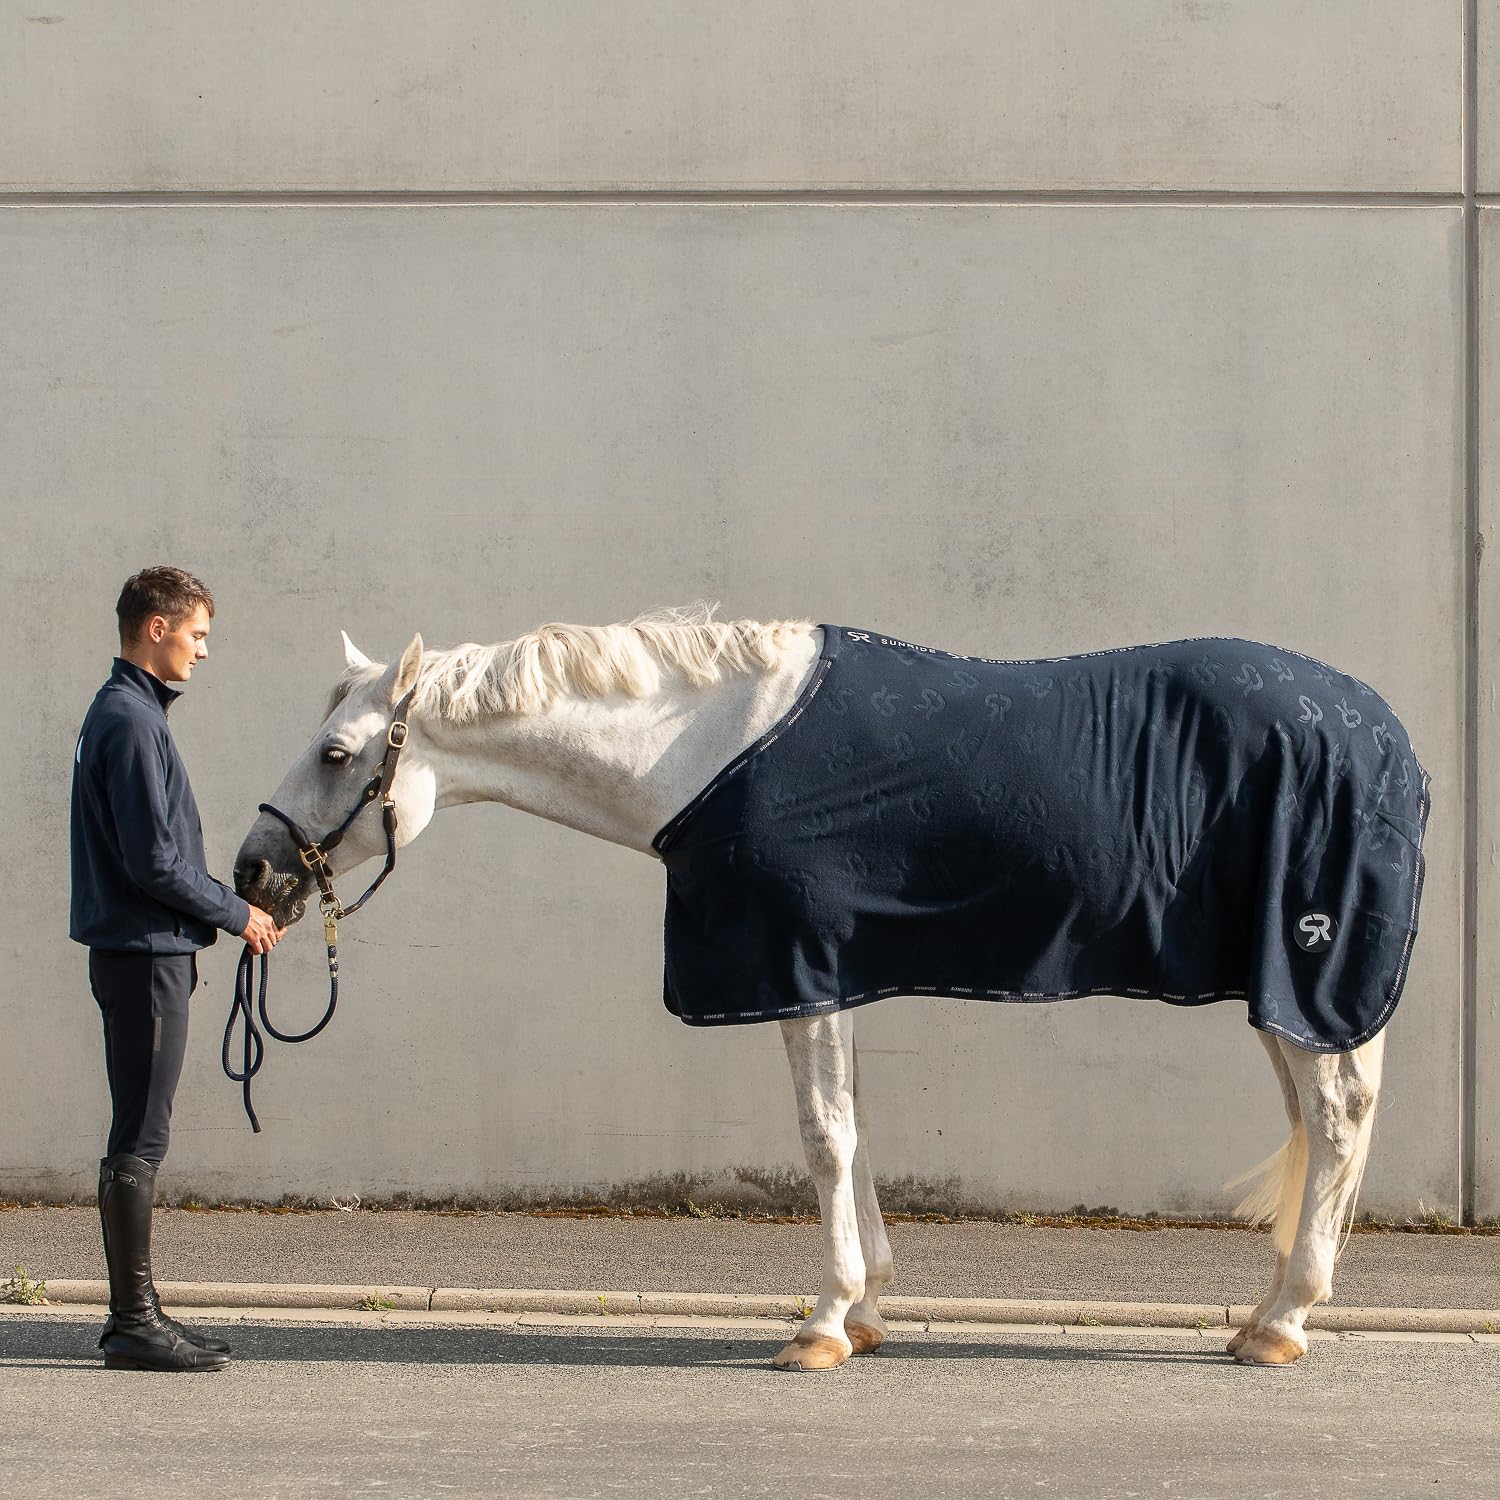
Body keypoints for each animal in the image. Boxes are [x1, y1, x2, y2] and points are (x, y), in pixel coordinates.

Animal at [234, 607, 1430, 1370]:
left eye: (337, 753)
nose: (250, 872)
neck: (707, 747)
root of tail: (1385, 733)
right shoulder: (833, 972)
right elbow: (852, 1129)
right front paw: (865, 1311)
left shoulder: (797, 967)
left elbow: (823, 1136)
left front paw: (822, 1322)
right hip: (1281, 992)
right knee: (1327, 1120)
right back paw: (1269, 1312)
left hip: (1307, 974)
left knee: (1335, 1117)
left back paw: (1283, 1325)